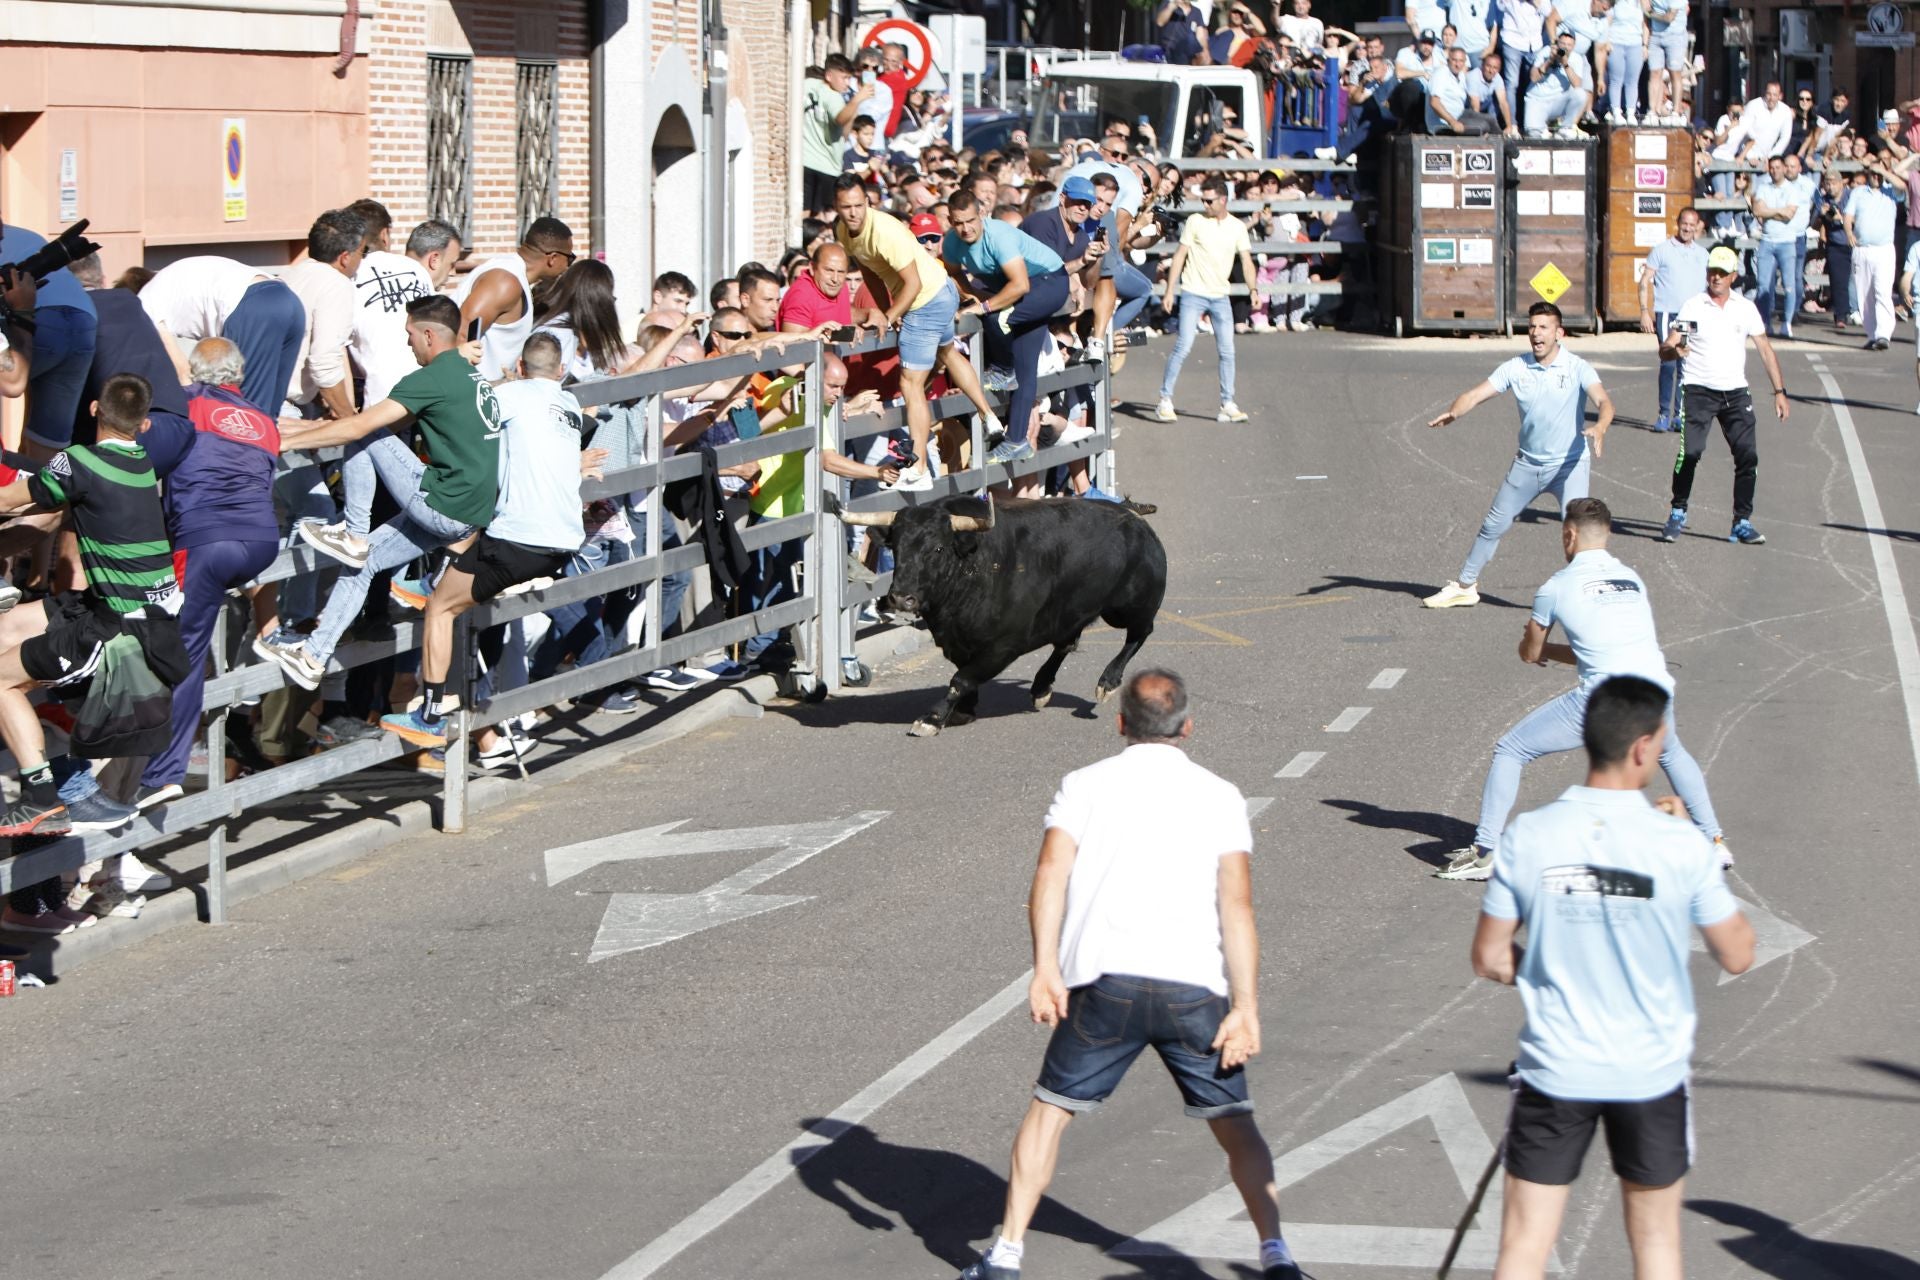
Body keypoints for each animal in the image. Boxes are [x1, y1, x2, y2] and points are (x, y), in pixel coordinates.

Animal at [844, 495, 1167, 736]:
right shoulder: (956, 642)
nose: (901, 597)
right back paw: (1041, 687)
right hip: (1073, 609)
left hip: (1127, 607)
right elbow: (964, 676)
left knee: (1140, 633)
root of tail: (1132, 515)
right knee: (1066, 642)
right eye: (895, 549)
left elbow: (960, 679)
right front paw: (964, 710)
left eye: (937, 548)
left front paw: (932, 718)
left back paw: (1107, 682)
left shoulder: (1003, 646)